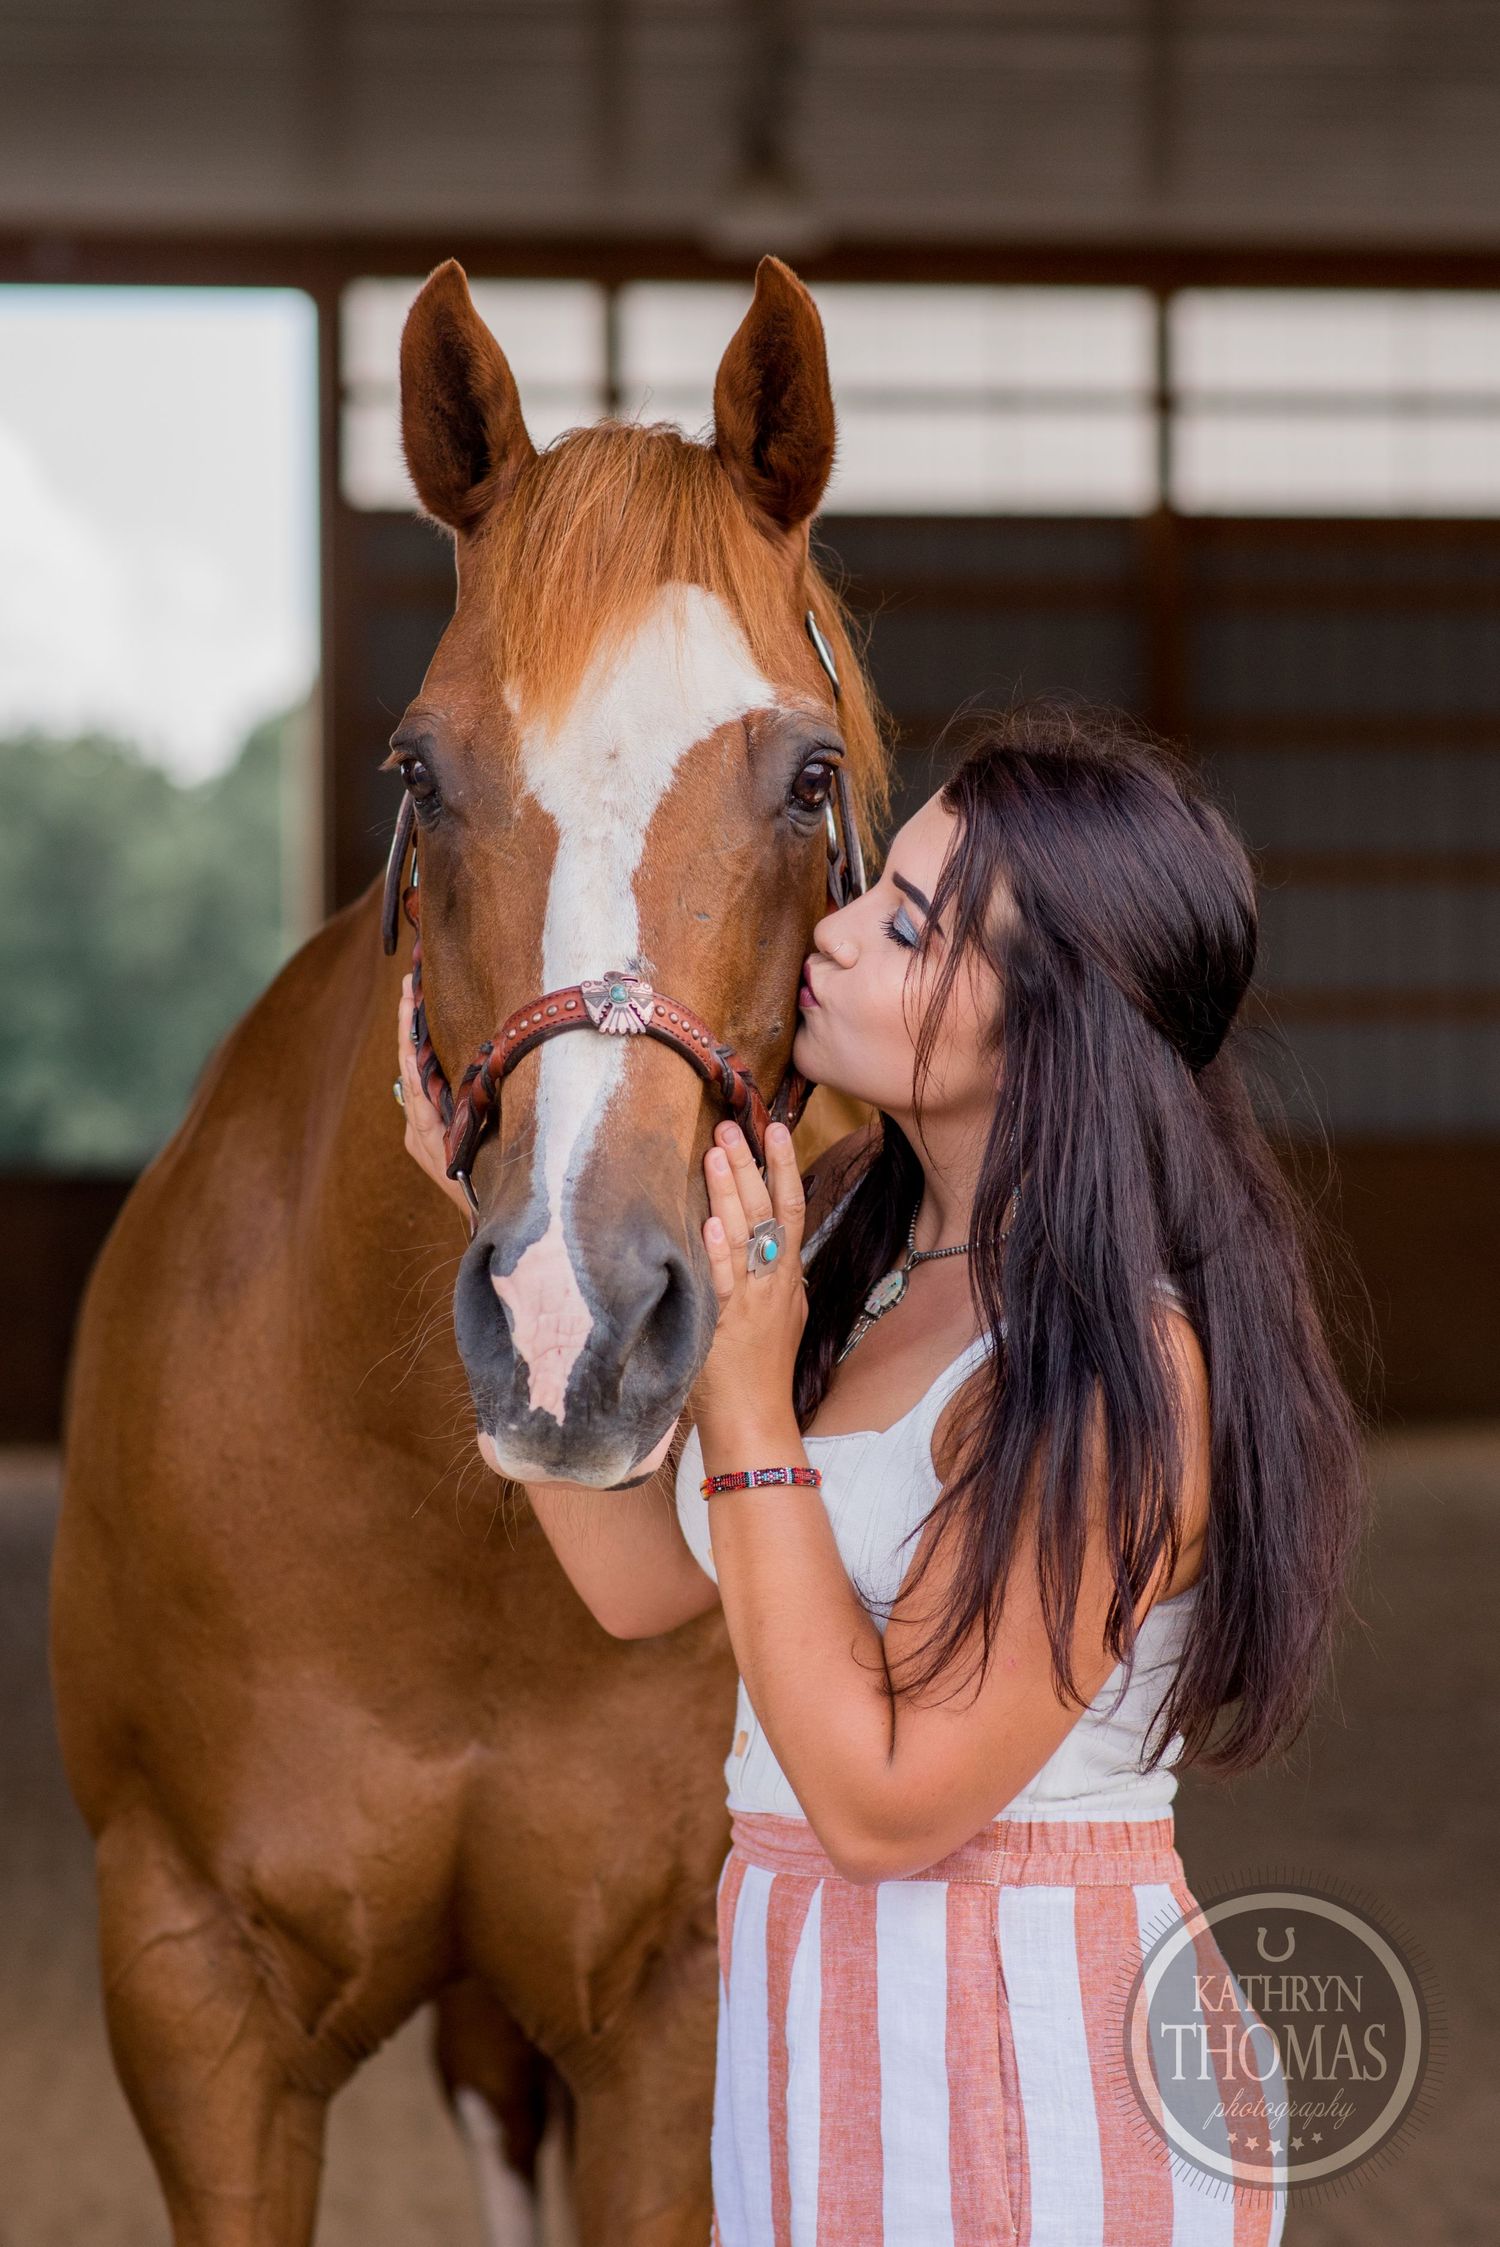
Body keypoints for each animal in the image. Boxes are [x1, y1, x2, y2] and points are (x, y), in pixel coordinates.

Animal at [49, 255, 891, 2247]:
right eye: (418, 770)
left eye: (808, 776)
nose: (567, 1323)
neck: (451, 1553)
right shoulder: (192, 1992)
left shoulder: (669, 1997)